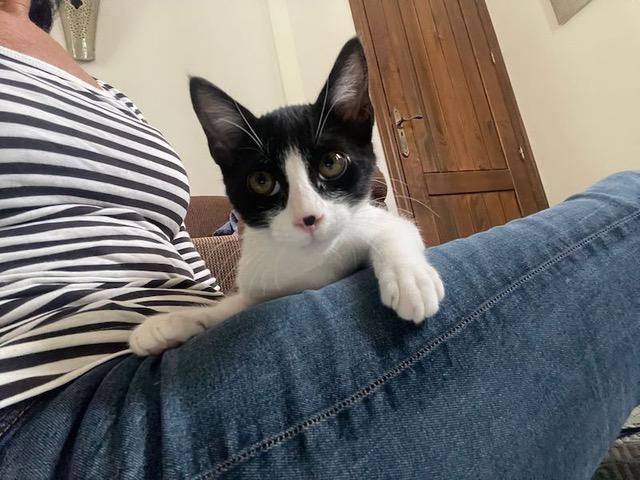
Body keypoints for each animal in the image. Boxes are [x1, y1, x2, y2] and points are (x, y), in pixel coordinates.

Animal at [129, 38, 444, 356]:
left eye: (331, 163)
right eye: (262, 181)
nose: (309, 218)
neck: (311, 262)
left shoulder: (371, 218)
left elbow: (396, 229)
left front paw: (409, 282)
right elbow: (235, 306)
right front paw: (170, 323)